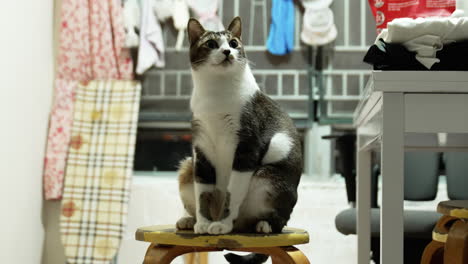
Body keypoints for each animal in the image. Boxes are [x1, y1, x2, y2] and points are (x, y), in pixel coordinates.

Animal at [176, 16, 304, 262]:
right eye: (211, 44)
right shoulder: (201, 152)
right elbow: (203, 193)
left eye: (234, 43)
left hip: (267, 175)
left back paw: (261, 225)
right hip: (187, 167)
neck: (216, 94)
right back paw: (189, 220)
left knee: (274, 219)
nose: (227, 51)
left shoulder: (246, 149)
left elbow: (231, 192)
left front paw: (222, 226)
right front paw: (203, 223)